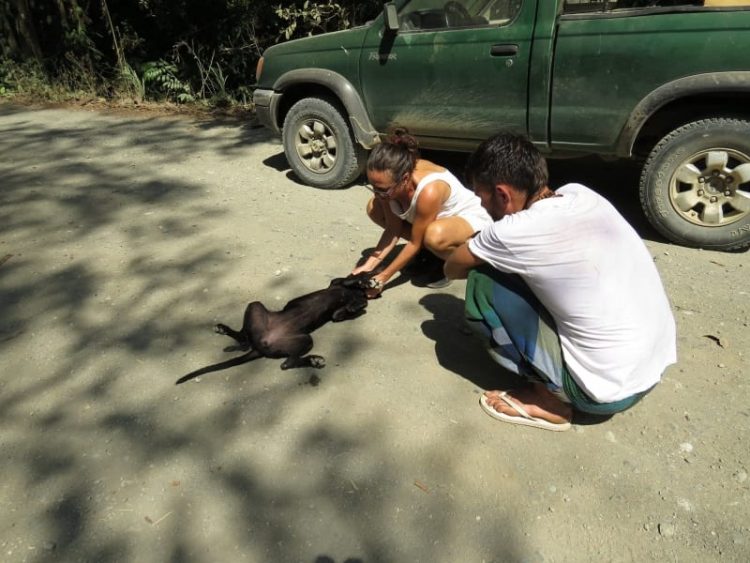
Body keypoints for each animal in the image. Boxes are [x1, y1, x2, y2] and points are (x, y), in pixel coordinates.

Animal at [177, 272, 376, 384]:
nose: (362, 296)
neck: (351, 295)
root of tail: (261, 345)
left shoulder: (337, 313)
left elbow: (347, 310)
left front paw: (358, 301)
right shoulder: (336, 283)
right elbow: (349, 281)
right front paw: (364, 281)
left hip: (274, 323)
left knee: (281, 360)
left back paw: (313, 360)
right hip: (295, 332)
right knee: (279, 359)